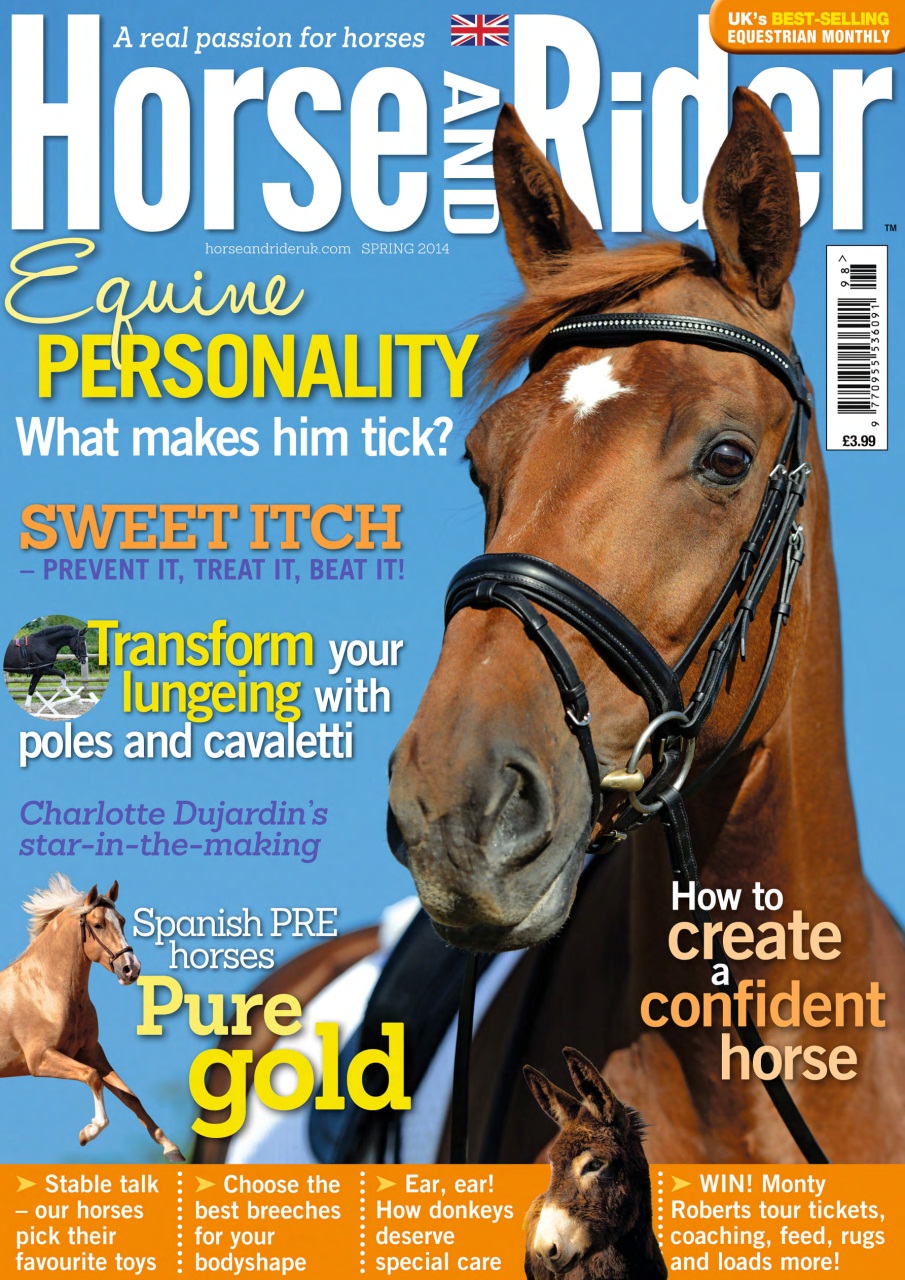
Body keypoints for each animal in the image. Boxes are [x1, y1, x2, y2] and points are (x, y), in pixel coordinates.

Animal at [0, 875, 185, 1161]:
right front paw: (87, 1132)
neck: (46, 991)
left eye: (122, 921)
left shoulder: (90, 1052)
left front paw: (171, 1149)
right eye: (98, 925)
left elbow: (130, 1097)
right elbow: (92, 1077)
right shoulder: (40, 1059)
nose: (131, 968)